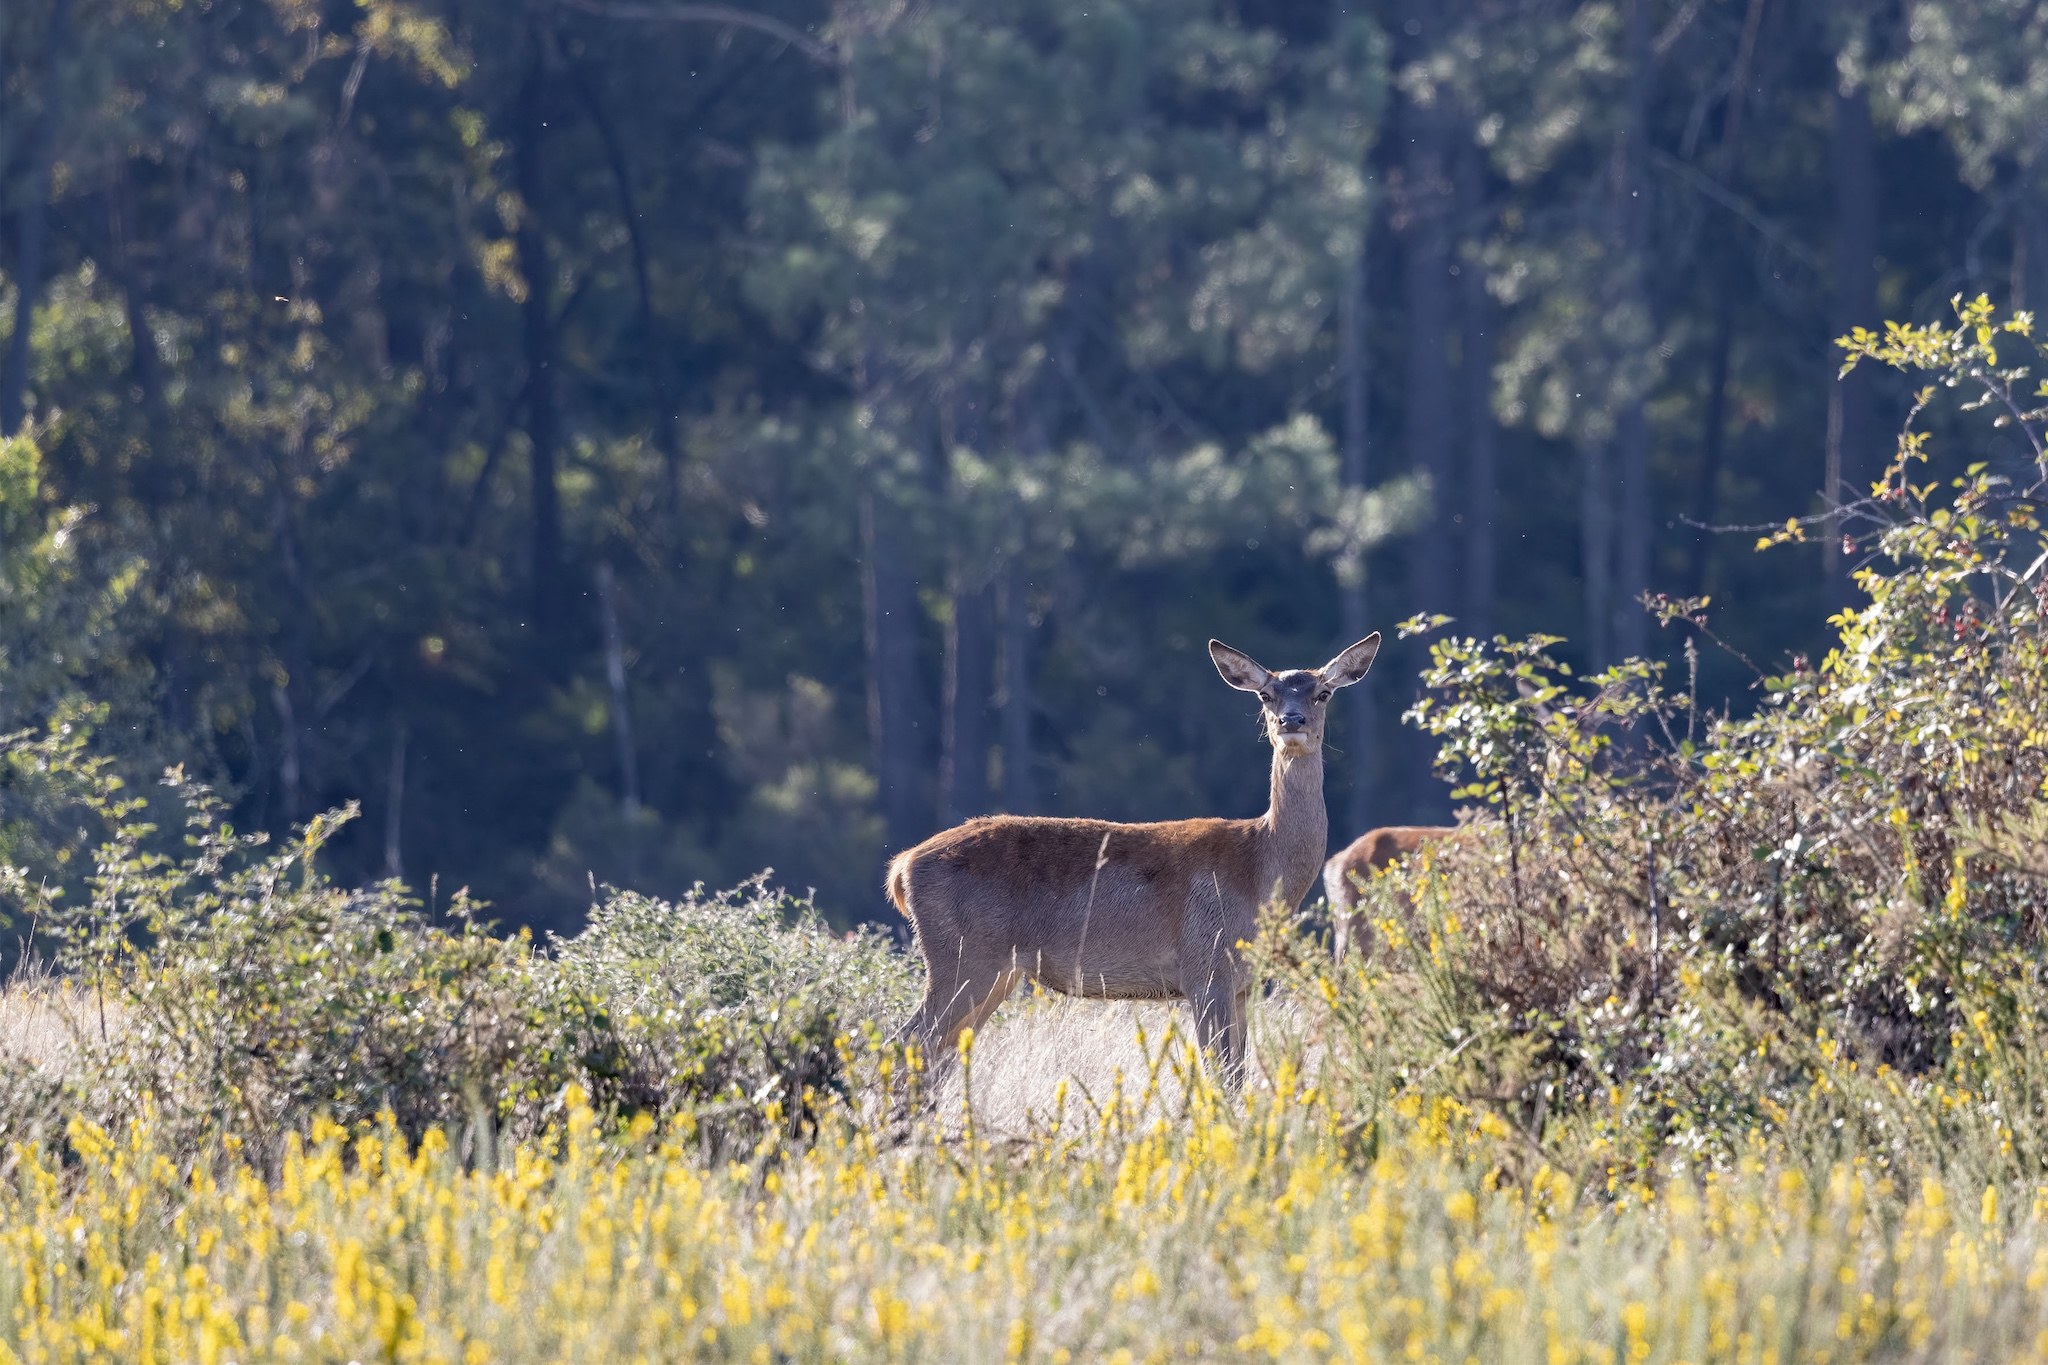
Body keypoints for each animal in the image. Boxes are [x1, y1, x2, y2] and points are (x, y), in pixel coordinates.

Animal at [885, 633, 1382, 1086]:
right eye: (1266, 694)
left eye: (1323, 692)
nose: (1290, 720)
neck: (1259, 871)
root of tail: (902, 866)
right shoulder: (1205, 968)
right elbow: (1220, 1075)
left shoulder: (1242, 985)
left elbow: (1238, 1077)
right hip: (964, 956)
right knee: (908, 1042)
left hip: (995, 971)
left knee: (937, 1055)